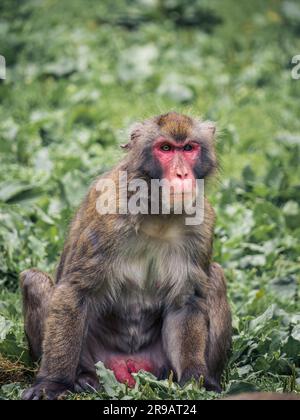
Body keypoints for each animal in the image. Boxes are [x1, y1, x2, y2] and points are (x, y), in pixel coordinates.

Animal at [20, 112, 232, 400]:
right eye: (166, 148)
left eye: (189, 148)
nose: (182, 173)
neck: (159, 213)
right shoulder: (109, 217)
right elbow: (75, 291)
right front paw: (52, 382)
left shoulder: (202, 223)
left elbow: (185, 302)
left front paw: (195, 380)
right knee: (34, 280)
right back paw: (82, 378)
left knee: (215, 277)